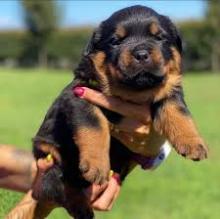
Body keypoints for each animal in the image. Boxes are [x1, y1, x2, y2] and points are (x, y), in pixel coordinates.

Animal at [20, 5, 208, 219]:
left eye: (159, 37)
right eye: (116, 41)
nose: (141, 54)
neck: (133, 91)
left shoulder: (168, 88)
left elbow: (178, 111)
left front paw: (194, 143)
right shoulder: (79, 95)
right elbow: (94, 124)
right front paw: (97, 164)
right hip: (48, 152)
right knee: (59, 183)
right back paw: (81, 207)